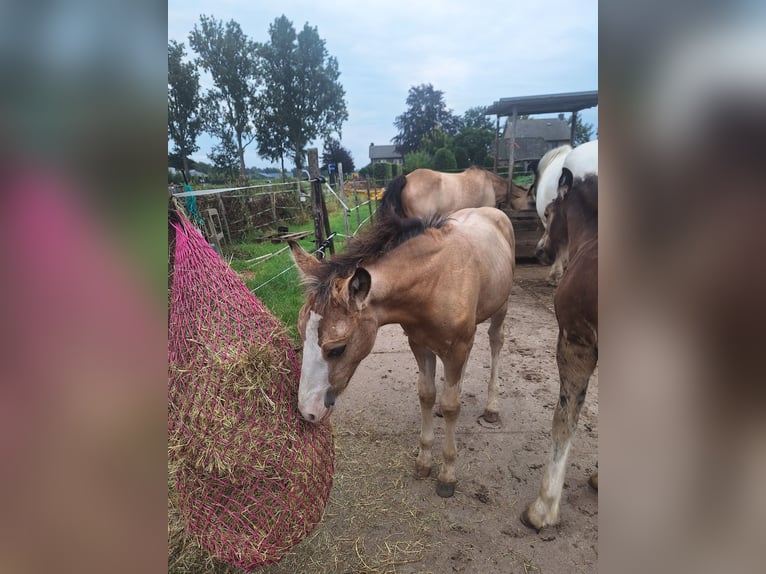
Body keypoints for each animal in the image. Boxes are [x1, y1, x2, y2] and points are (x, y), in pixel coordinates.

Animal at [290, 186, 516, 500]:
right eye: (301, 335)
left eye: (337, 348)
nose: (307, 412)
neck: (434, 282)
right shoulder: (420, 345)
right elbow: (427, 395)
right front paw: (423, 462)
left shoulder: (455, 348)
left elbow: (451, 406)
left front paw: (447, 475)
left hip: (500, 308)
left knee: (496, 343)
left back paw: (492, 408)